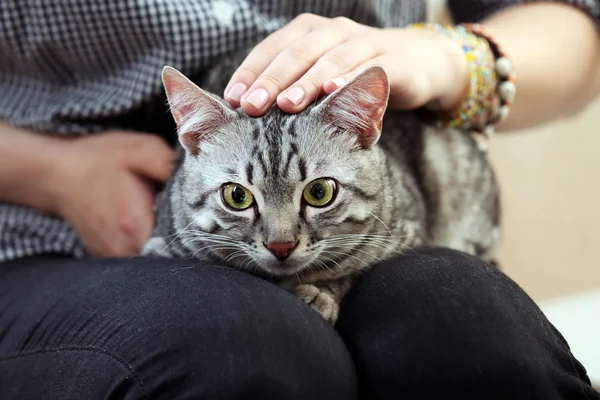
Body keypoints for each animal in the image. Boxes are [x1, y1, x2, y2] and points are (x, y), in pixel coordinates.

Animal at [142, 54, 502, 324]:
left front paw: (319, 292)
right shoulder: (158, 242)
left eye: (319, 193)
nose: (281, 246)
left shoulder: (405, 232)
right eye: (237, 196)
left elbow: (350, 269)